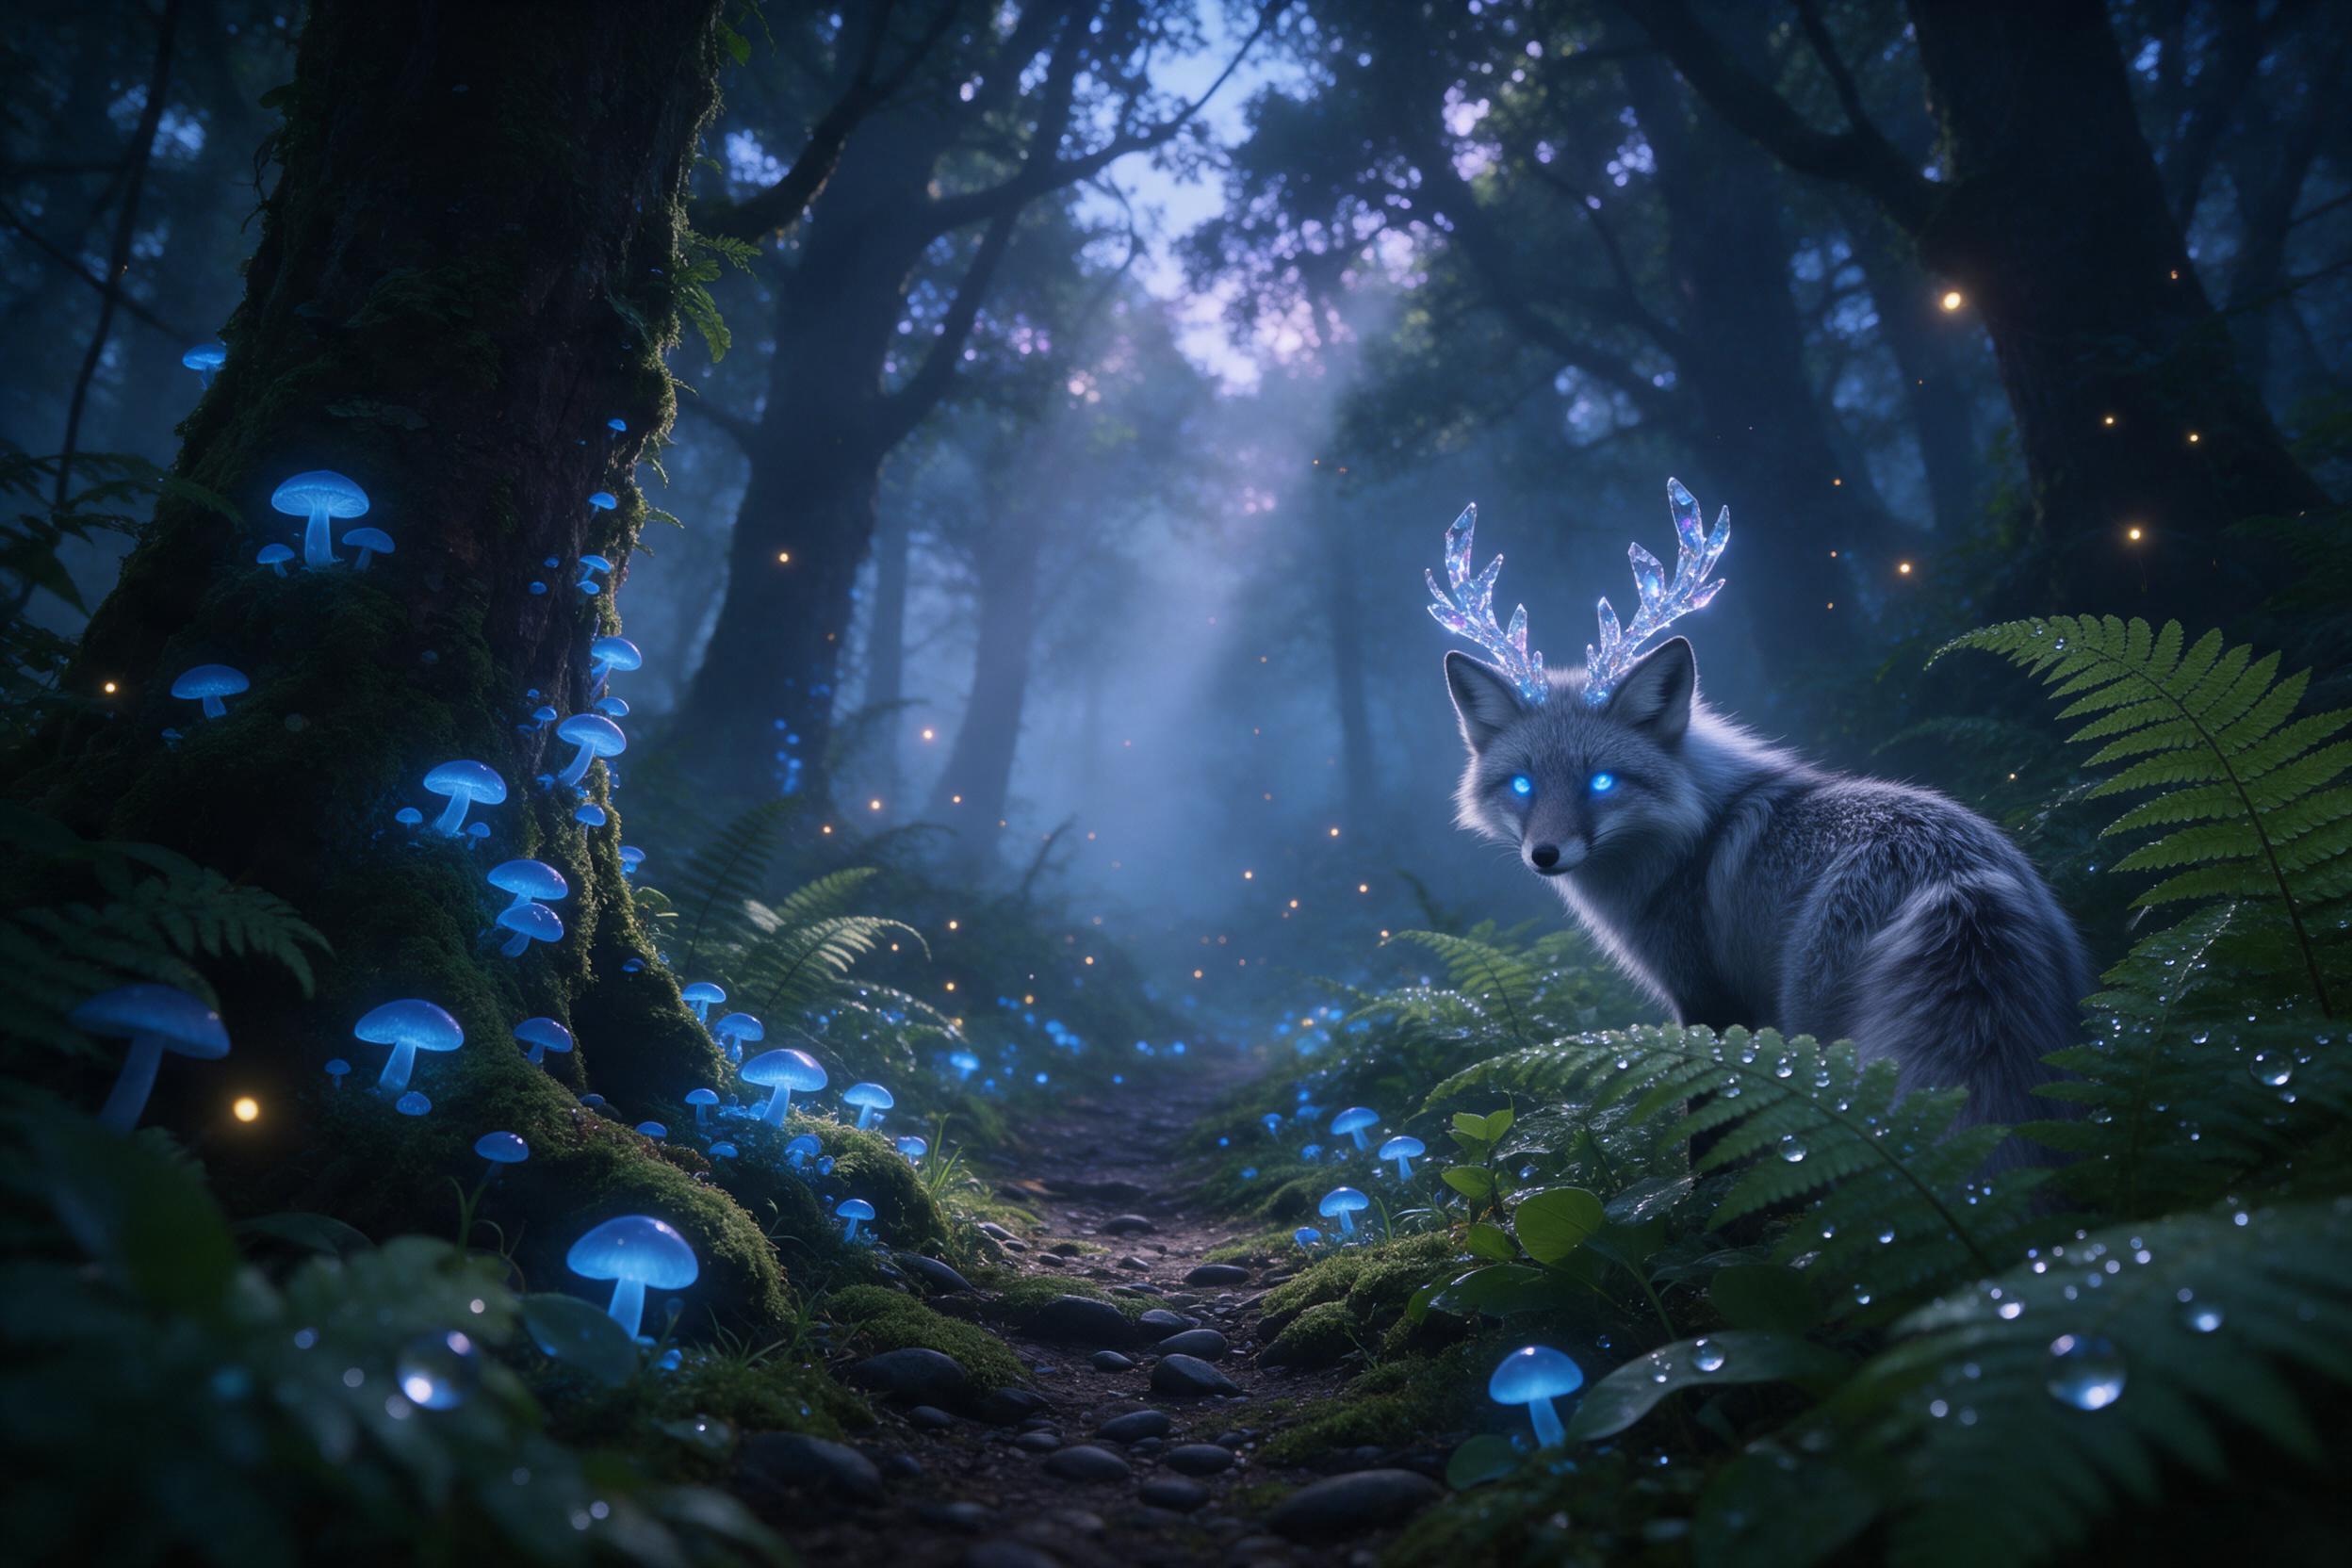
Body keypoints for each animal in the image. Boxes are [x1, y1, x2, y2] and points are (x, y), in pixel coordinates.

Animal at [1445, 636, 2090, 1168]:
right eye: (1523, 785)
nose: (1545, 854)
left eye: (1600, 782)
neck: (1693, 837)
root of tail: (1954, 874)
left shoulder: (1703, 997)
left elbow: (1709, 1123)